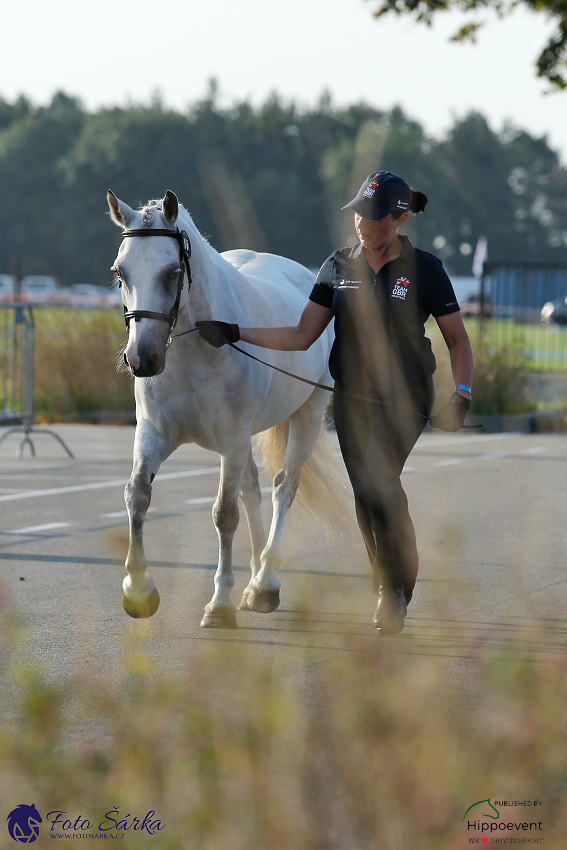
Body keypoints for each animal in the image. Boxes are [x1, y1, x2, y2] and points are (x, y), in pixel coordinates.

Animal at [106, 189, 346, 628]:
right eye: (120, 272)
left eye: (171, 272)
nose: (141, 359)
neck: (191, 353)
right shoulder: (153, 433)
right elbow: (138, 496)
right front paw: (138, 590)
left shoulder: (232, 440)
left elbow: (224, 514)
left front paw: (219, 604)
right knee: (252, 490)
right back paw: (253, 583)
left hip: (306, 415)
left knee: (283, 487)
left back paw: (265, 583)